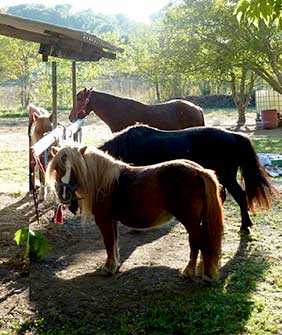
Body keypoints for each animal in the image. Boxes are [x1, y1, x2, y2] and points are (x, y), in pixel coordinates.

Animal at [46, 146, 224, 282]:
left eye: (75, 169)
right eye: (58, 169)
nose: (64, 195)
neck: (103, 181)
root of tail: (199, 171)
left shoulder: (104, 220)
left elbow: (108, 243)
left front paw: (108, 268)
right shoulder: (112, 221)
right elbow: (114, 243)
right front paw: (113, 266)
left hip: (190, 221)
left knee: (196, 242)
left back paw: (191, 272)